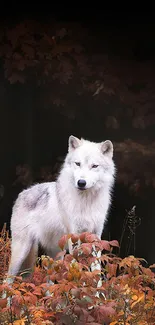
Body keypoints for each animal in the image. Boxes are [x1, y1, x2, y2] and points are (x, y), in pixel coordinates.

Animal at [7, 134, 115, 276]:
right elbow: (79, 264)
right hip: (21, 253)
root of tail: (22, 193)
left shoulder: (95, 236)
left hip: (55, 255)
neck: (86, 202)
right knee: (7, 278)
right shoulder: (74, 236)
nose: (81, 182)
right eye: (77, 164)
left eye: (94, 166)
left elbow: (96, 270)